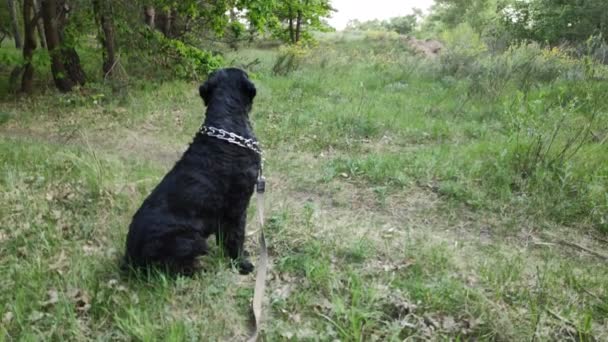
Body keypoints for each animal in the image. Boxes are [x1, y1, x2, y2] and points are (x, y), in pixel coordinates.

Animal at [126, 67, 262, 276]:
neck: (226, 123)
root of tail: (129, 261)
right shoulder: (237, 207)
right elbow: (235, 237)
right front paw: (241, 263)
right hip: (190, 240)